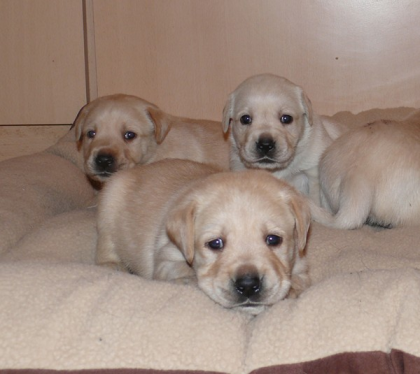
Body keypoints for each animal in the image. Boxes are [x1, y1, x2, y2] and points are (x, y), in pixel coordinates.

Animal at [96, 159, 312, 314]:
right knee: (106, 245)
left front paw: (292, 288)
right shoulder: (166, 258)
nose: (248, 285)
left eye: (273, 239)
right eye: (215, 243)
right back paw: (112, 264)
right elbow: (182, 271)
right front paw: (189, 280)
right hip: (109, 204)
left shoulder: (301, 263)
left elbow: (300, 279)